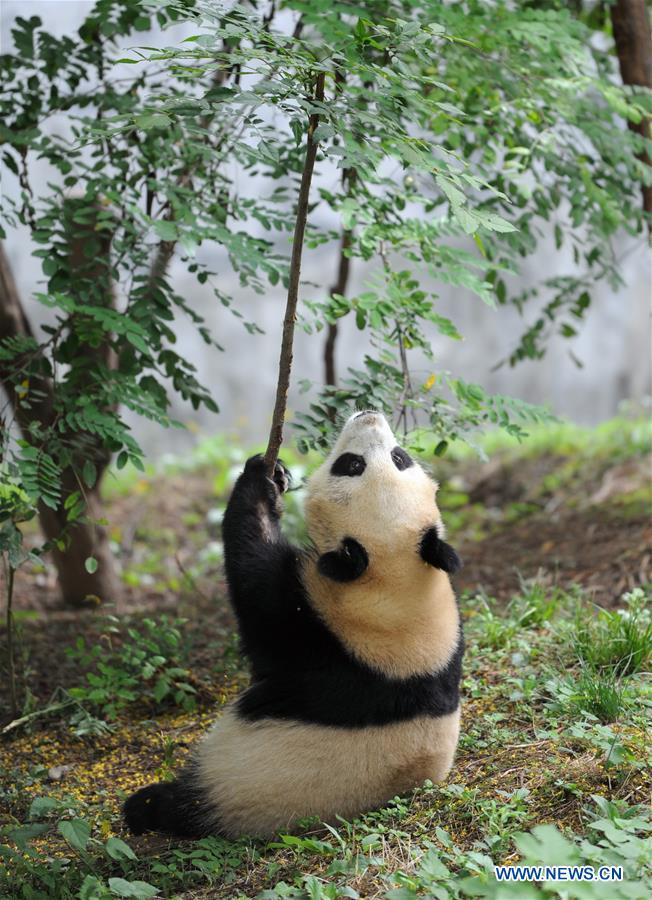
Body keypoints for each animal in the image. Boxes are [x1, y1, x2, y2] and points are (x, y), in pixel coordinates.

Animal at [124, 411, 463, 839]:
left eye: (351, 465)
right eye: (401, 457)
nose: (369, 415)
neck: (394, 587)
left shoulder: (312, 627)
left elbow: (253, 577)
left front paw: (261, 480)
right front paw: (277, 472)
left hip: (236, 785)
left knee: (189, 804)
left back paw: (146, 808)